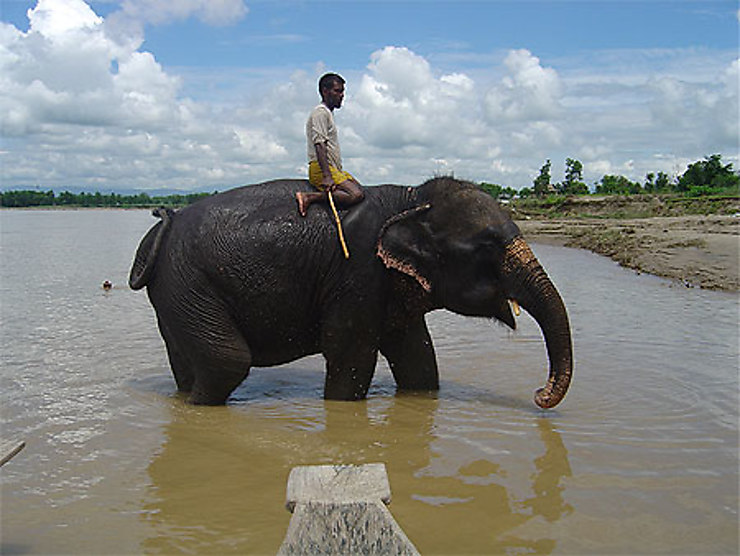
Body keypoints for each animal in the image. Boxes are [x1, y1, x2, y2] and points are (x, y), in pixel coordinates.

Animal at [132, 178, 572, 408]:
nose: (539, 394)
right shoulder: (356, 270)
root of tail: (162, 226)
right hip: (189, 283)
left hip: (176, 291)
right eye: (487, 247)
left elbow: (418, 359)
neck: (411, 197)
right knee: (228, 361)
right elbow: (351, 354)